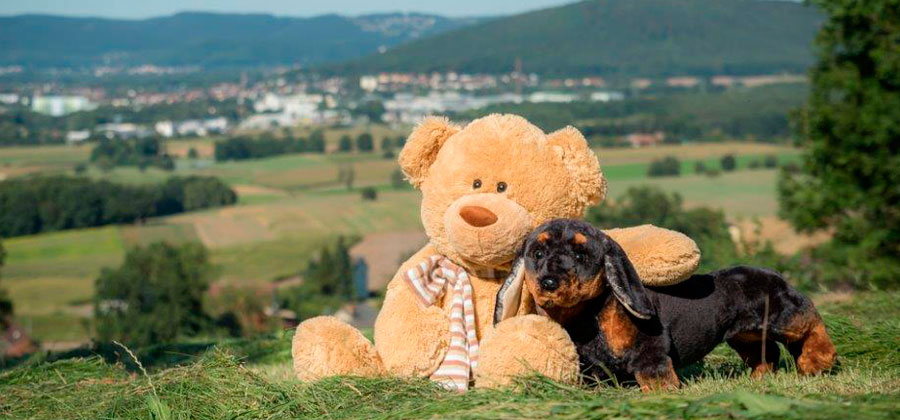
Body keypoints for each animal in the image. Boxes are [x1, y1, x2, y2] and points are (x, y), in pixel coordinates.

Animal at [496, 220, 832, 390]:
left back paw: (818, 362)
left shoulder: (650, 350)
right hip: (745, 336)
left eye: (581, 255)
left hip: (781, 315)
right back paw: (760, 379)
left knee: (810, 321)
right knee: (767, 353)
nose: (549, 282)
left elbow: (655, 375)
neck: (589, 316)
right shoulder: (592, 368)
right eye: (537, 253)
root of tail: (775, 274)